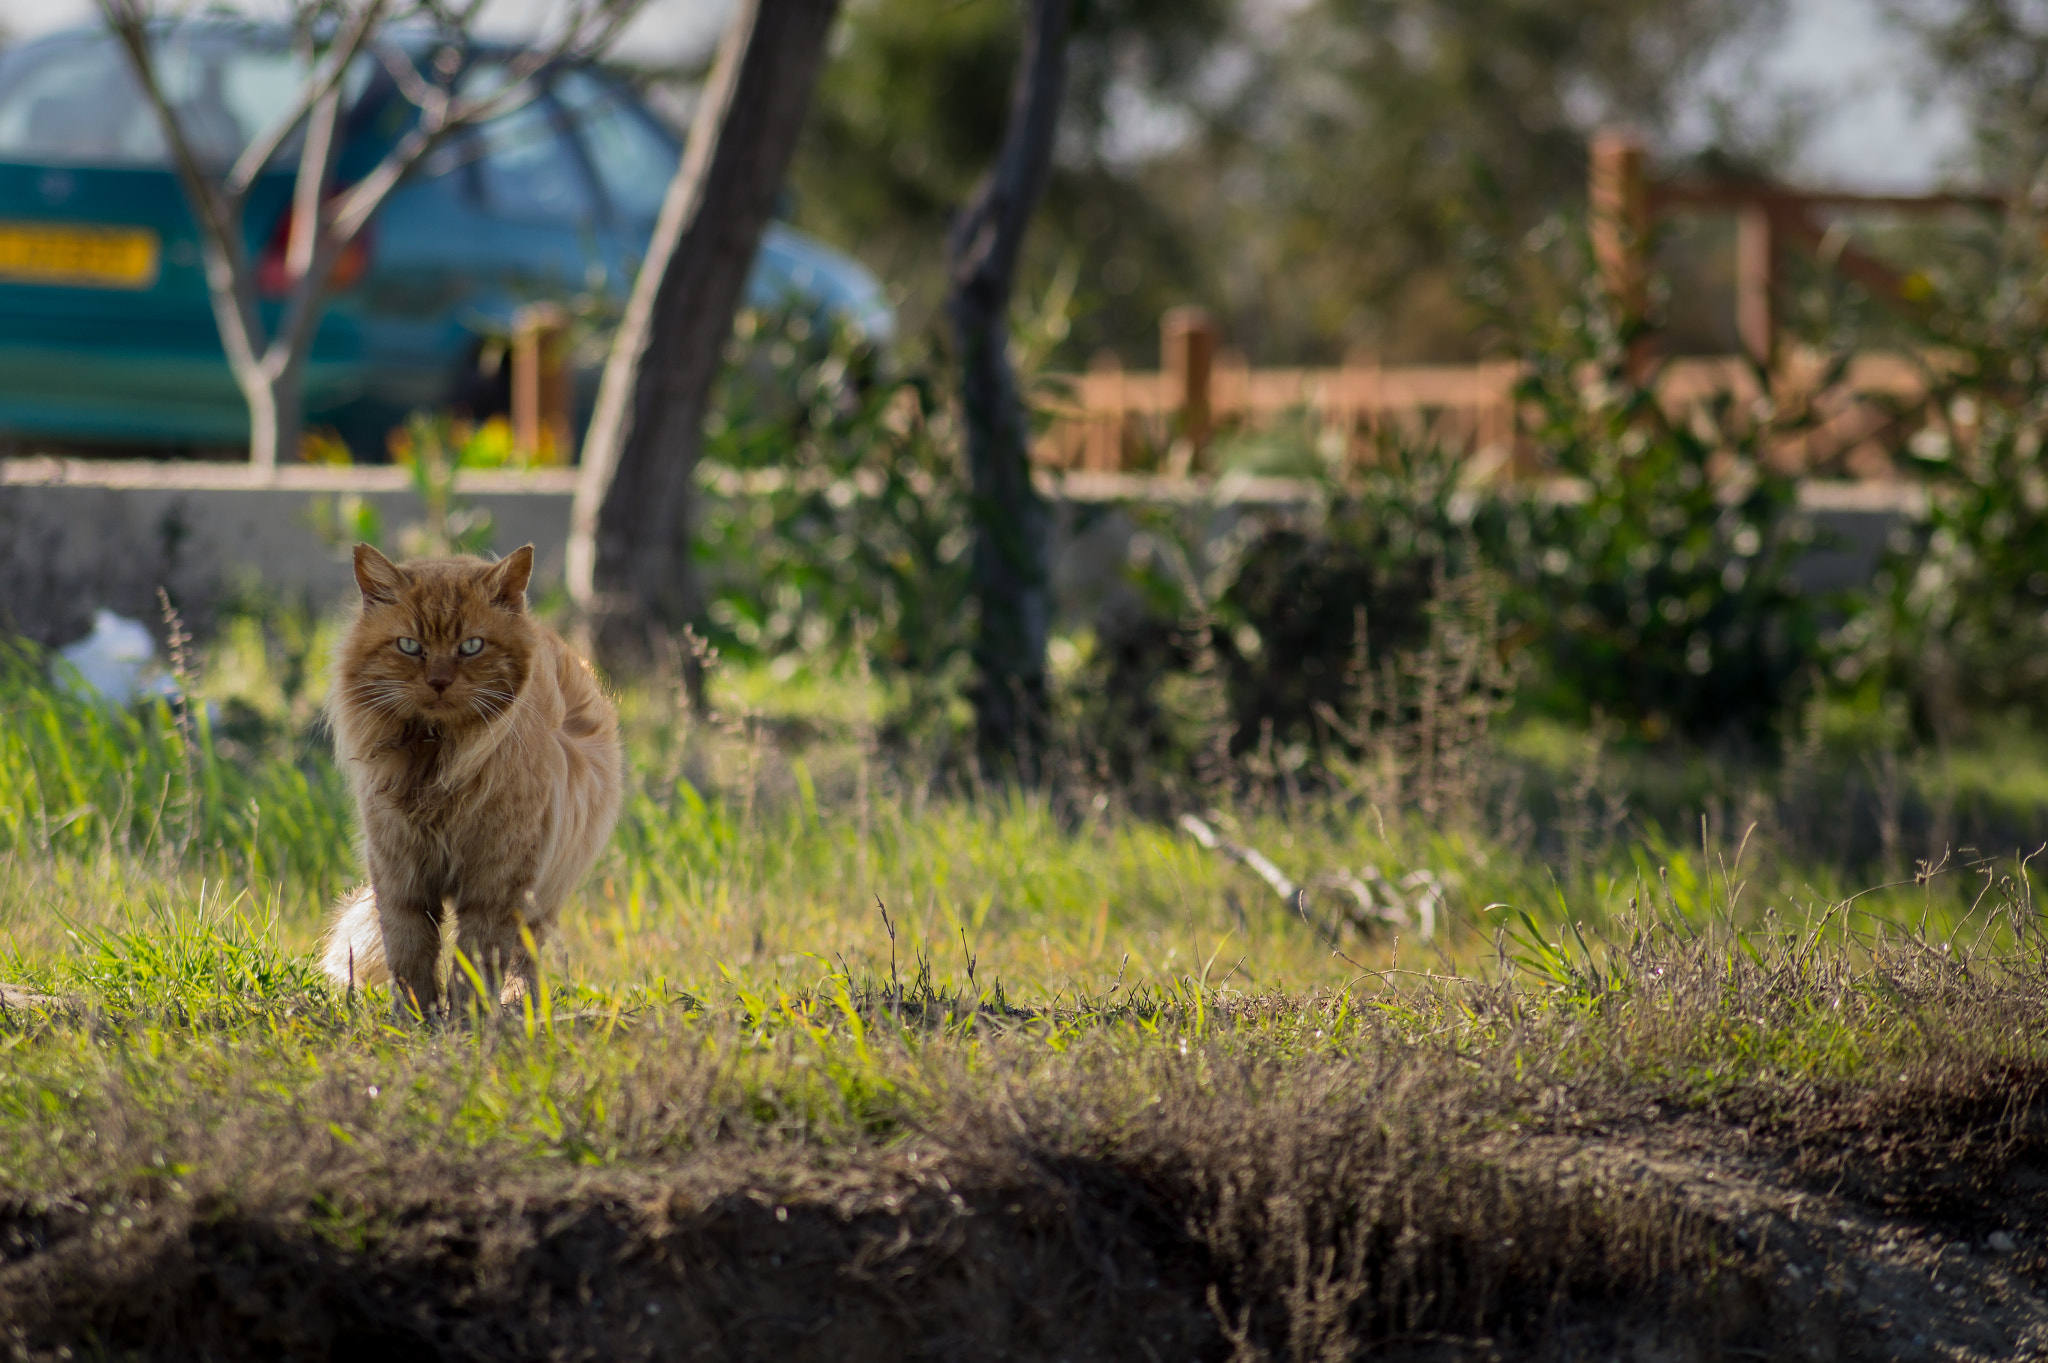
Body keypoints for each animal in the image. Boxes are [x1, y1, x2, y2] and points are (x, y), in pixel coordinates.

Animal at [319, 548, 618, 1015]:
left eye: (471, 646)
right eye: (410, 646)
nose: (439, 681)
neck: (436, 762)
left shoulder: (496, 880)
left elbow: (476, 961)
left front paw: (466, 1021)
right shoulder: (400, 872)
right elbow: (410, 955)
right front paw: (414, 1020)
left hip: (542, 896)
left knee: (525, 958)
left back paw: (520, 1006)